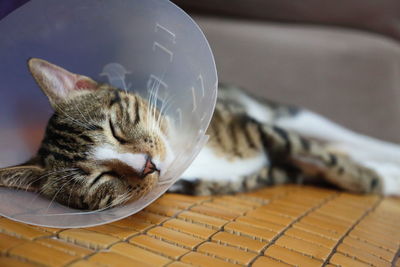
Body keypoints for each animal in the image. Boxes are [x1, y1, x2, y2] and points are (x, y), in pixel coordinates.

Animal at [0, 58, 400, 211]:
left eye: (115, 128)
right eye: (100, 178)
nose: (147, 165)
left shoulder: (263, 129)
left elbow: (319, 155)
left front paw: (382, 174)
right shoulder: (257, 174)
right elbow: (329, 167)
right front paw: (381, 179)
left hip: (292, 115)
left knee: (348, 139)